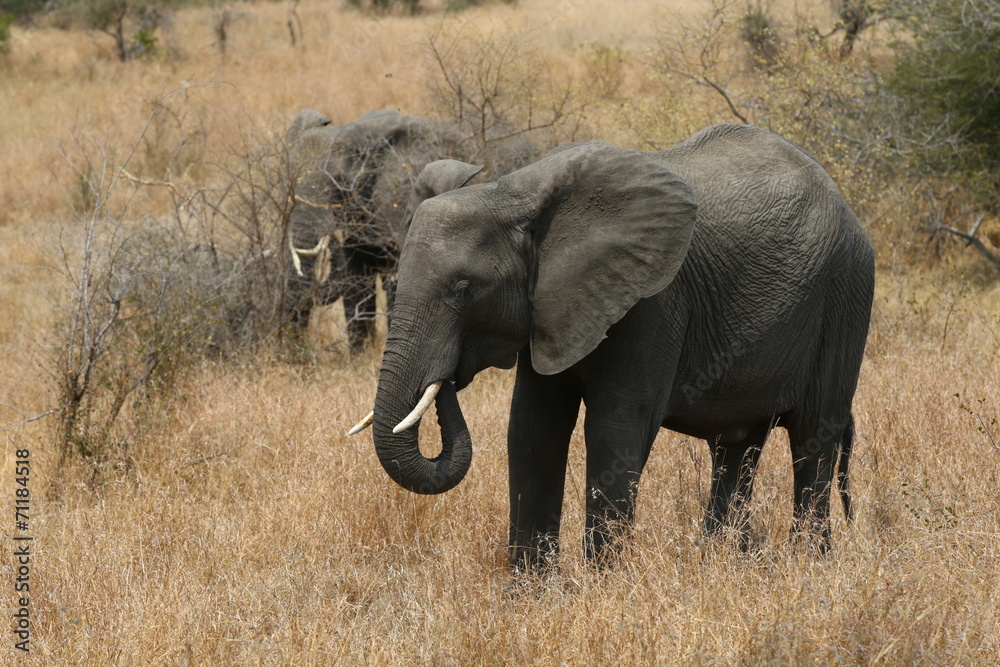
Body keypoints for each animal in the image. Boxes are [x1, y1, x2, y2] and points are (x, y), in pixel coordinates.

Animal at [350, 122, 876, 572]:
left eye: (463, 289)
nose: (448, 376)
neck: (515, 195)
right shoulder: (553, 309)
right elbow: (532, 429)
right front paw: (530, 594)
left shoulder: (652, 301)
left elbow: (614, 428)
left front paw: (602, 586)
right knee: (738, 448)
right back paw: (721, 565)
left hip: (846, 293)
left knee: (813, 439)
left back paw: (808, 565)